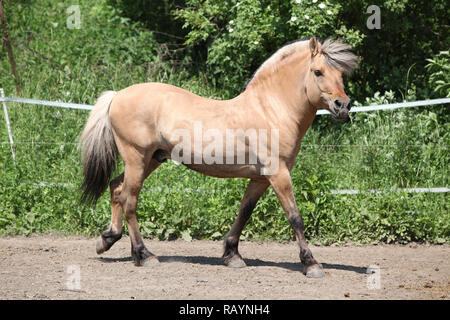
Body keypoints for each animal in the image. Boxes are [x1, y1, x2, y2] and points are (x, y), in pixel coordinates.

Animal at [79, 37, 356, 278]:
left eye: (341, 74)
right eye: (318, 72)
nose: (343, 105)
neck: (271, 109)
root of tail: (117, 95)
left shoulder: (261, 178)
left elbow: (244, 212)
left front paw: (232, 255)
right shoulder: (278, 174)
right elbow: (295, 217)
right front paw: (311, 263)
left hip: (151, 160)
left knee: (116, 188)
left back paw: (107, 239)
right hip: (136, 158)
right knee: (130, 200)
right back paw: (143, 255)